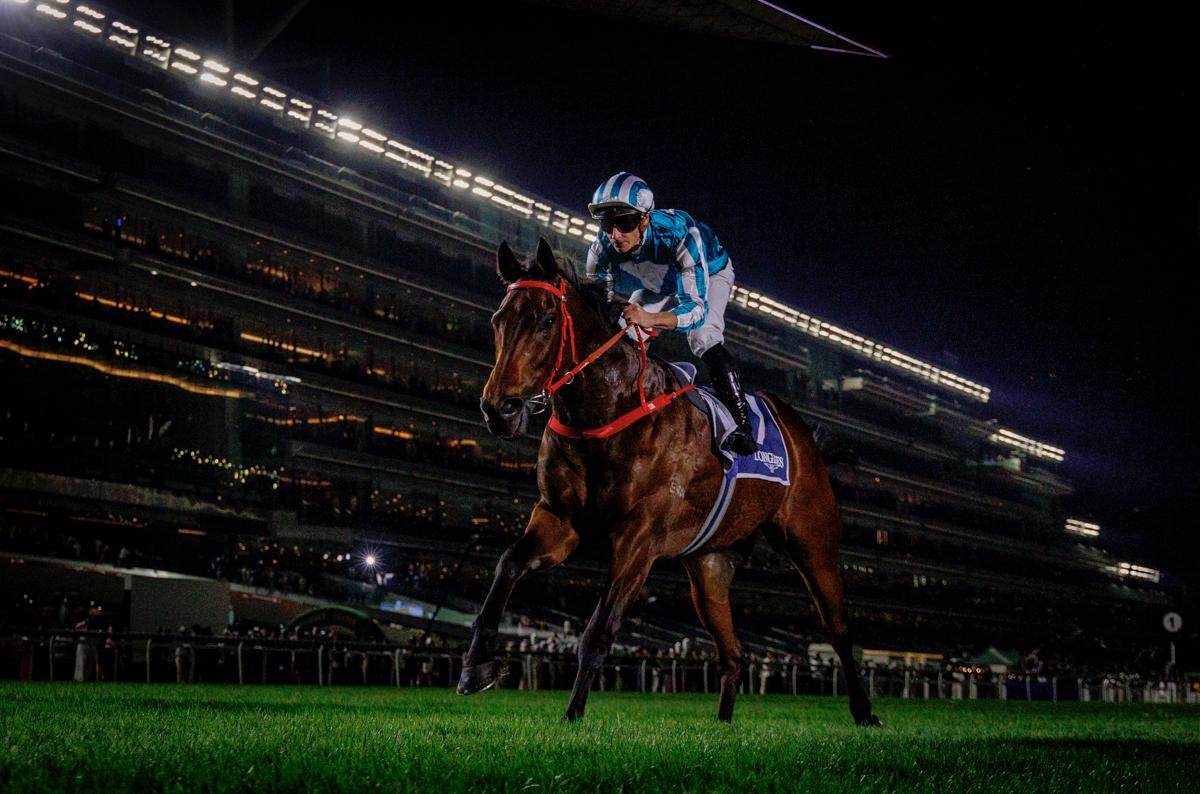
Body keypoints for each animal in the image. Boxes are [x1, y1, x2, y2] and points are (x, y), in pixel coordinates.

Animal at [458, 237, 883, 729]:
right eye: (498, 320)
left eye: (547, 321)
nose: (499, 409)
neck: (607, 409)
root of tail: (806, 439)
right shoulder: (559, 520)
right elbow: (508, 564)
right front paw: (476, 668)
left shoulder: (638, 541)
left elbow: (598, 632)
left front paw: (572, 717)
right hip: (710, 566)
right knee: (734, 653)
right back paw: (723, 725)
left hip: (813, 545)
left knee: (838, 630)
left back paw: (865, 713)